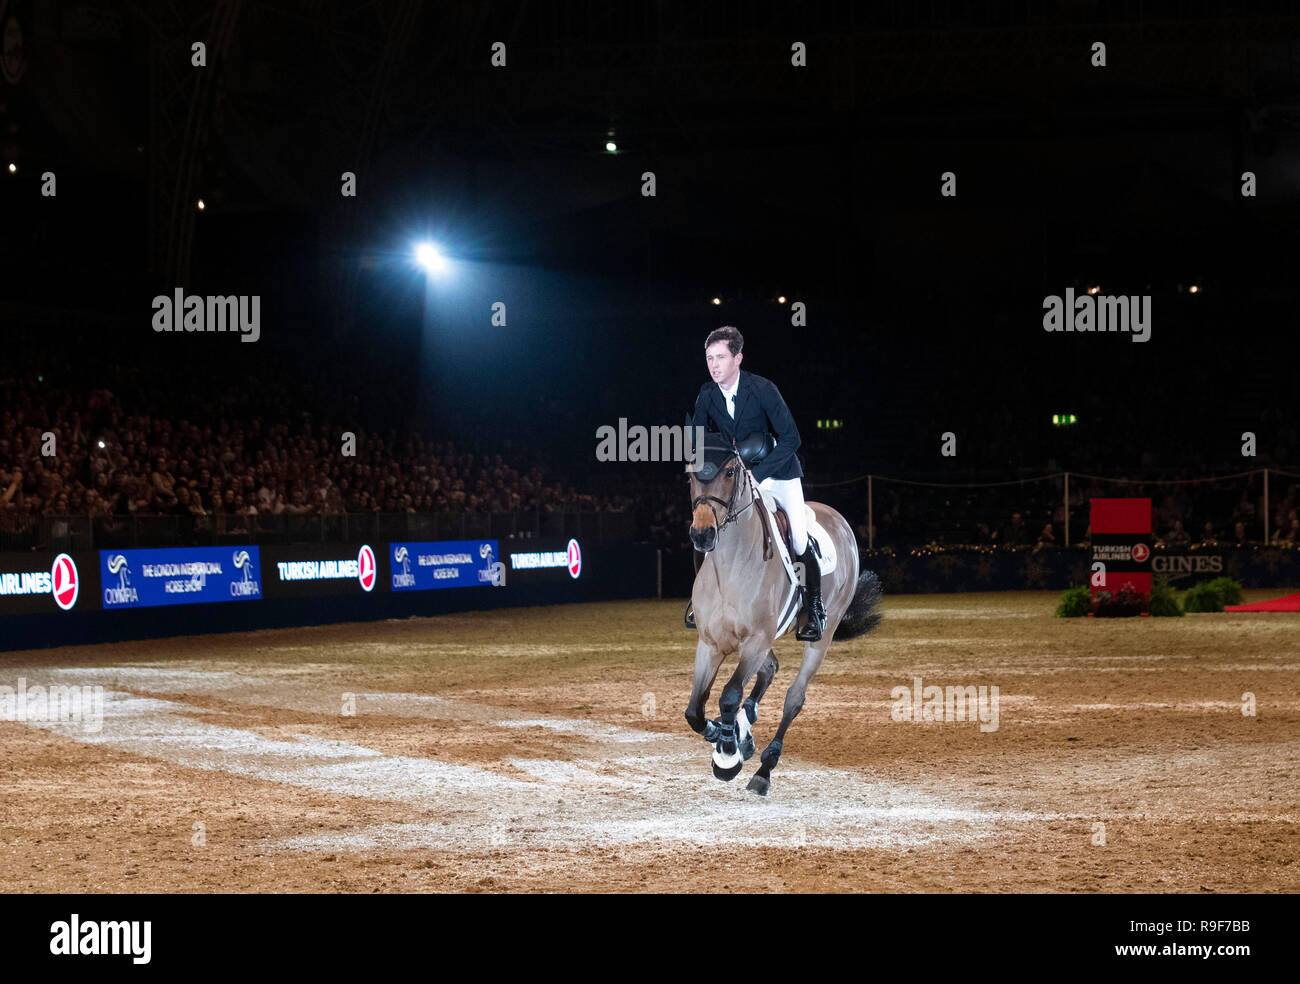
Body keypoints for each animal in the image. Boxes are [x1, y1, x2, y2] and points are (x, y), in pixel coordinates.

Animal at [681, 434, 883, 795]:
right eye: (690, 475)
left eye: (730, 472)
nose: (702, 534)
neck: (731, 566)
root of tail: (838, 518)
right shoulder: (711, 643)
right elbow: (695, 710)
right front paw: (724, 736)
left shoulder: (756, 641)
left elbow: (729, 695)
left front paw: (727, 756)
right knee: (769, 671)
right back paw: (746, 733)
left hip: (821, 636)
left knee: (794, 697)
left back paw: (764, 768)